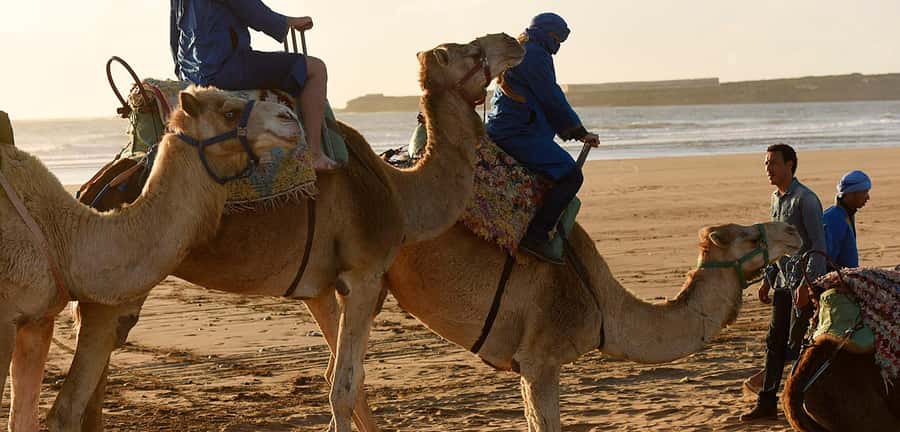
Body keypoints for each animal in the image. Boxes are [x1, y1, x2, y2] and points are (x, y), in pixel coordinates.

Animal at [0, 87, 301, 431]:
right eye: (229, 112)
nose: (289, 118)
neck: (64, 234)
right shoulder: (4, 321)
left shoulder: (38, 320)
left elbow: (23, 418)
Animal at [43, 33, 525, 432]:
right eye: (469, 50)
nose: (512, 40)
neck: (399, 192)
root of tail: (93, 189)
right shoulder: (364, 274)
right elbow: (344, 386)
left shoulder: (321, 287)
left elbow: (346, 381)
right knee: (70, 404)